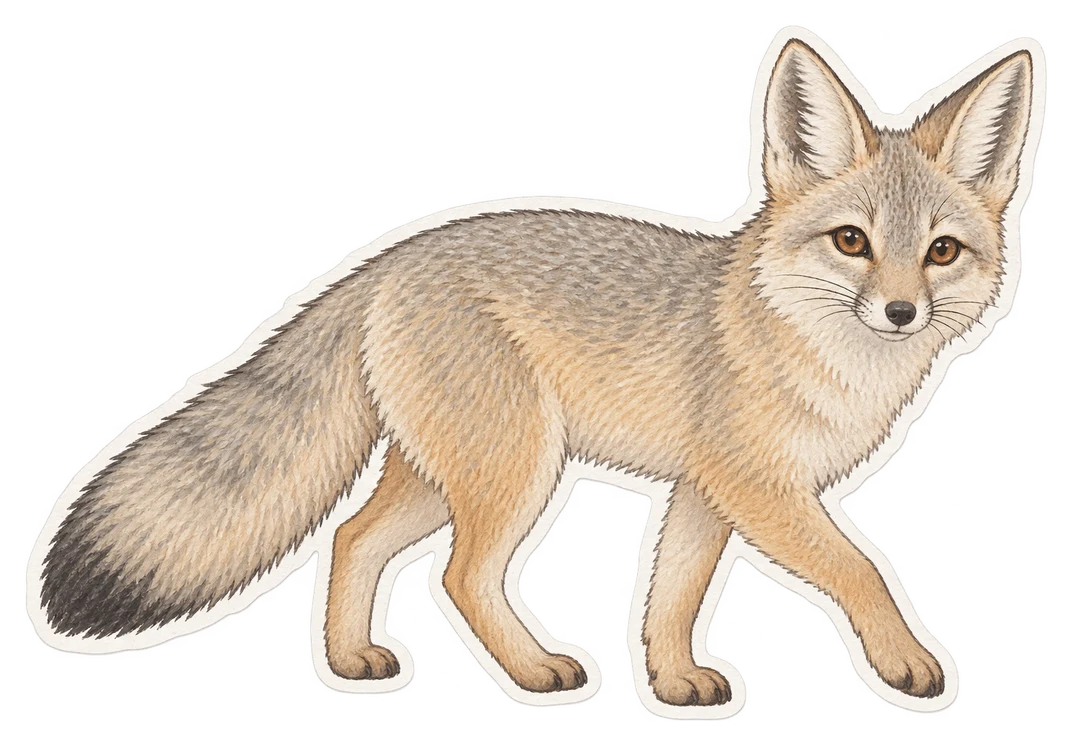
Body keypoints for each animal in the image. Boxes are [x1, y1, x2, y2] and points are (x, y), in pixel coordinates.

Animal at [27, 30, 1042, 715]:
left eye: (941, 252)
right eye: (852, 243)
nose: (902, 312)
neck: (816, 351)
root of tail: (387, 259)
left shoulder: (706, 492)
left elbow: (671, 595)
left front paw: (672, 682)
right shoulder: (761, 486)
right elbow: (862, 567)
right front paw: (906, 663)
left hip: (446, 476)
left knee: (352, 539)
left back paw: (352, 663)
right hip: (518, 473)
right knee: (458, 578)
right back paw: (534, 672)